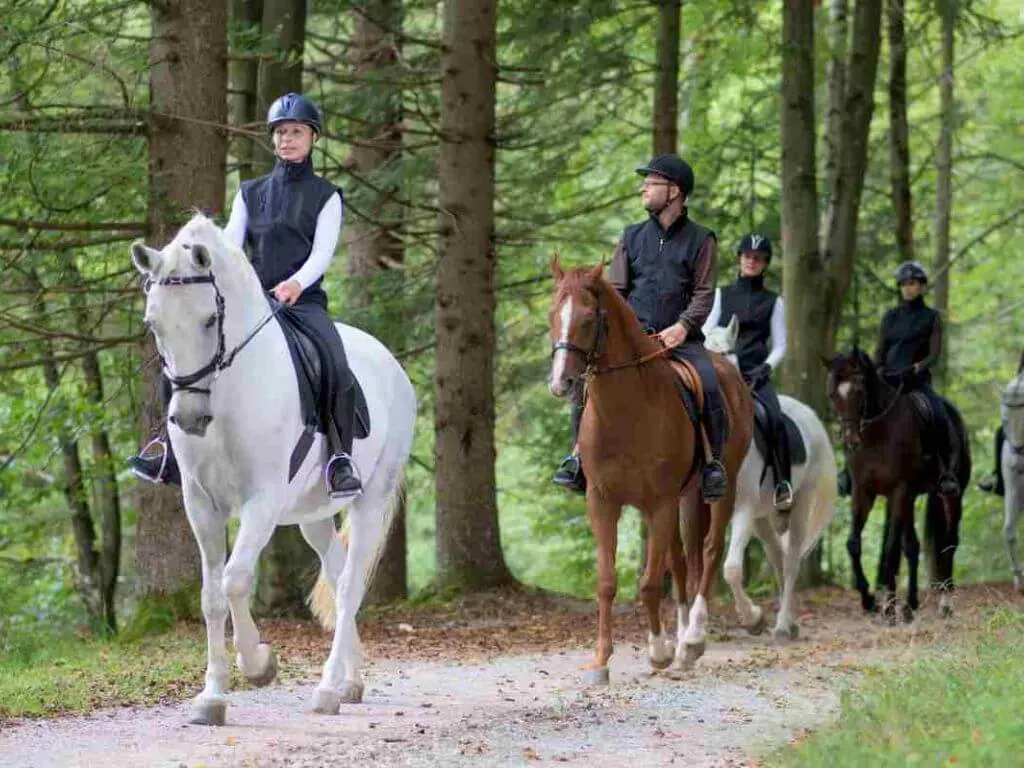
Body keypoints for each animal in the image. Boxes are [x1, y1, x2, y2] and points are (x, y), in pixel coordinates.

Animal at [130, 214, 416, 725]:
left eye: (209, 319)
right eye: (153, 323)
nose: (189, 418)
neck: (229, 392)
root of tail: (390, 363)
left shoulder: (260, 501)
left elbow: (236, 579)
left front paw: (259, 664)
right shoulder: (200, 503)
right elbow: (210, 595)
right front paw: (211, 697)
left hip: (370, 499)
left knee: (350, 585)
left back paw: (327, 689)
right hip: (313, 515)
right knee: (338, 573)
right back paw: (350, 682)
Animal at [548, 259, 753, 683]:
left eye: (588, 319)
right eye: (551, 315)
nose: (562, 383)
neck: (626, 412)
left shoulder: (658, 504)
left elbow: (649, 584)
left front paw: (659, 652)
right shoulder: (603, 502)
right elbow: (608, 582)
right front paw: (601, 660)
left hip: (719, 490)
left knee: (709, 552)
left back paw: (693, 640)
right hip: (685, 499)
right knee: (684, 558)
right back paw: (683, 639)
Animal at [704, 318, 837, 641]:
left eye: (725, 354)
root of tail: (811, 416)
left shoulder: (742, 508)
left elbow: (732, 568)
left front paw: (752, 618)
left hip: (800, 505)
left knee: (791, 562)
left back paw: (782, 626)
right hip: (763, 517)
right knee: (777, 556)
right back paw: (788, 621)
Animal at [824, 348, 970, 622]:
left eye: (859, 390)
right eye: (832, 394)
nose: (850, 441)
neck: (877, 433)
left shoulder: (898, 491)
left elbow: (891, 552)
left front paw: (889, 609)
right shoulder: (863, 492)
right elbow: (854, 544)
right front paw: (870, 600)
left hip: (951, 495)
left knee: (949, 543)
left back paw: (945, 604)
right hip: (910, 499)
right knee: (912, 546)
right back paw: (910, 605)